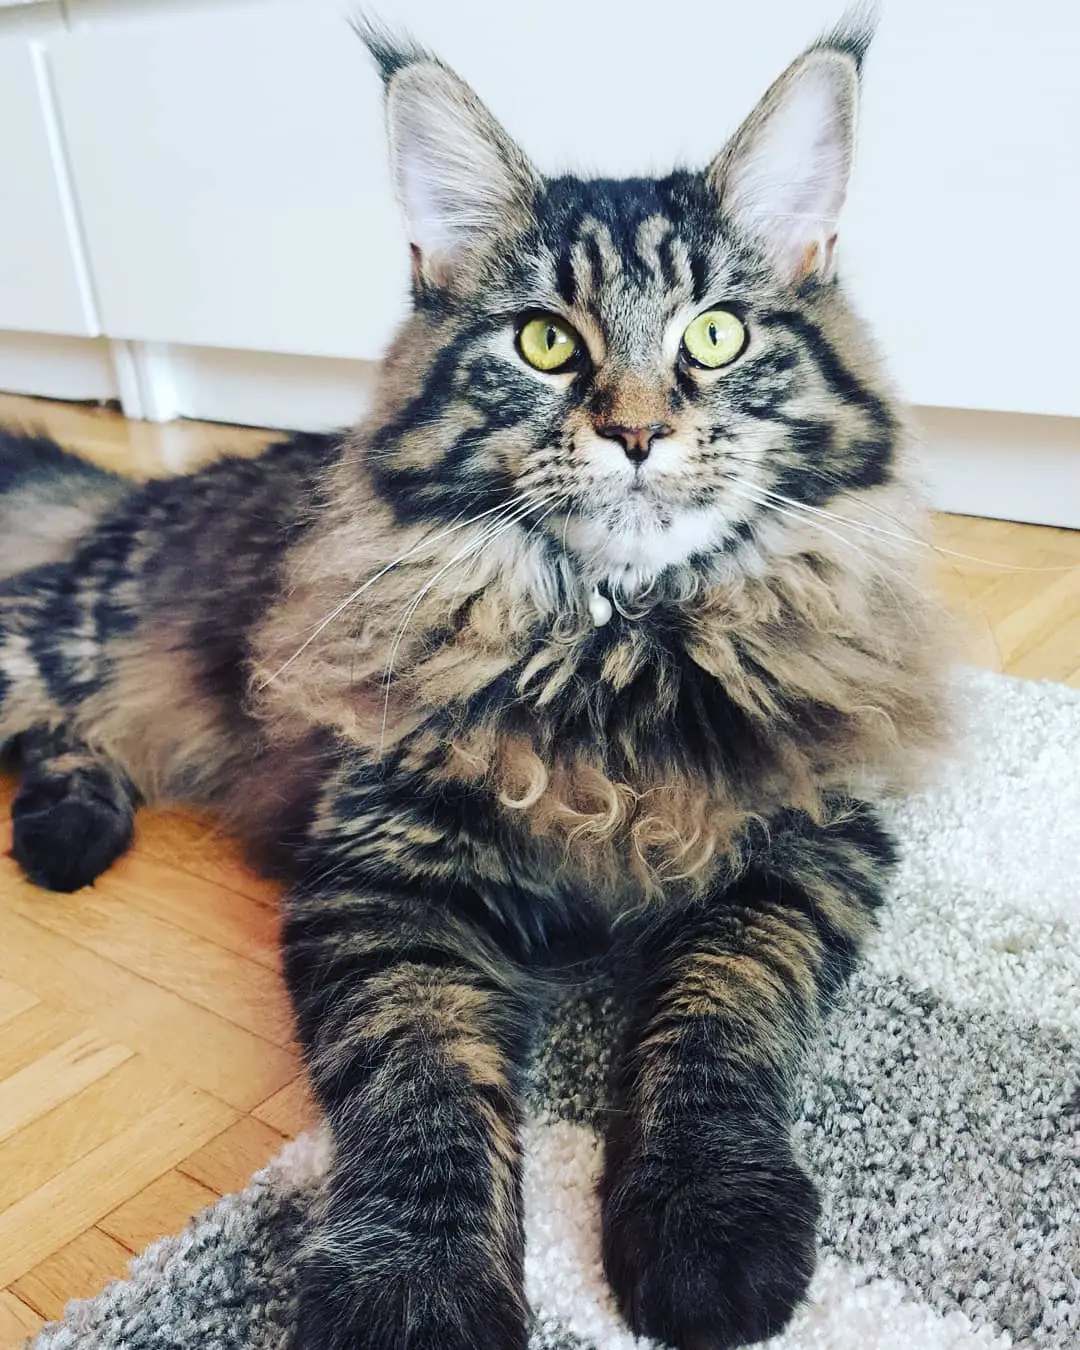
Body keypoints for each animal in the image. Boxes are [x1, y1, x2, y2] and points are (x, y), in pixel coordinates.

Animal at [0, 18, 949, 1350]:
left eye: (716, 334)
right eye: (546, 341)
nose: (638, 433)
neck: (618, 660)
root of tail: (132, 499)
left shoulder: (802, 851)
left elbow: (715, 1026)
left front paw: (710, 1228)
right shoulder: (389, 879)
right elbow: (422, 1090)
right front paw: (417, 1293)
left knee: (64, 741)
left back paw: (69, 830)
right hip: (67, 638)